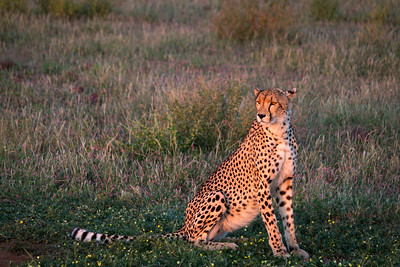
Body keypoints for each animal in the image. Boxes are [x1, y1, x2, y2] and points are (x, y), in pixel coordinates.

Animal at [70, 88, 310, 260]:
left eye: (273, 103)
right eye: (258, 102)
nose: (261, 115)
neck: (279, 129)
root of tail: (184, 226)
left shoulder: (284, 182)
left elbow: (288, 218)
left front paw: (294, 248)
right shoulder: (262, 185)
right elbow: (272, 221)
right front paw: (280, 251)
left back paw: (237, 240)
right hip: (216, 195)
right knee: (195, 242)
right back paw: (227, 245)